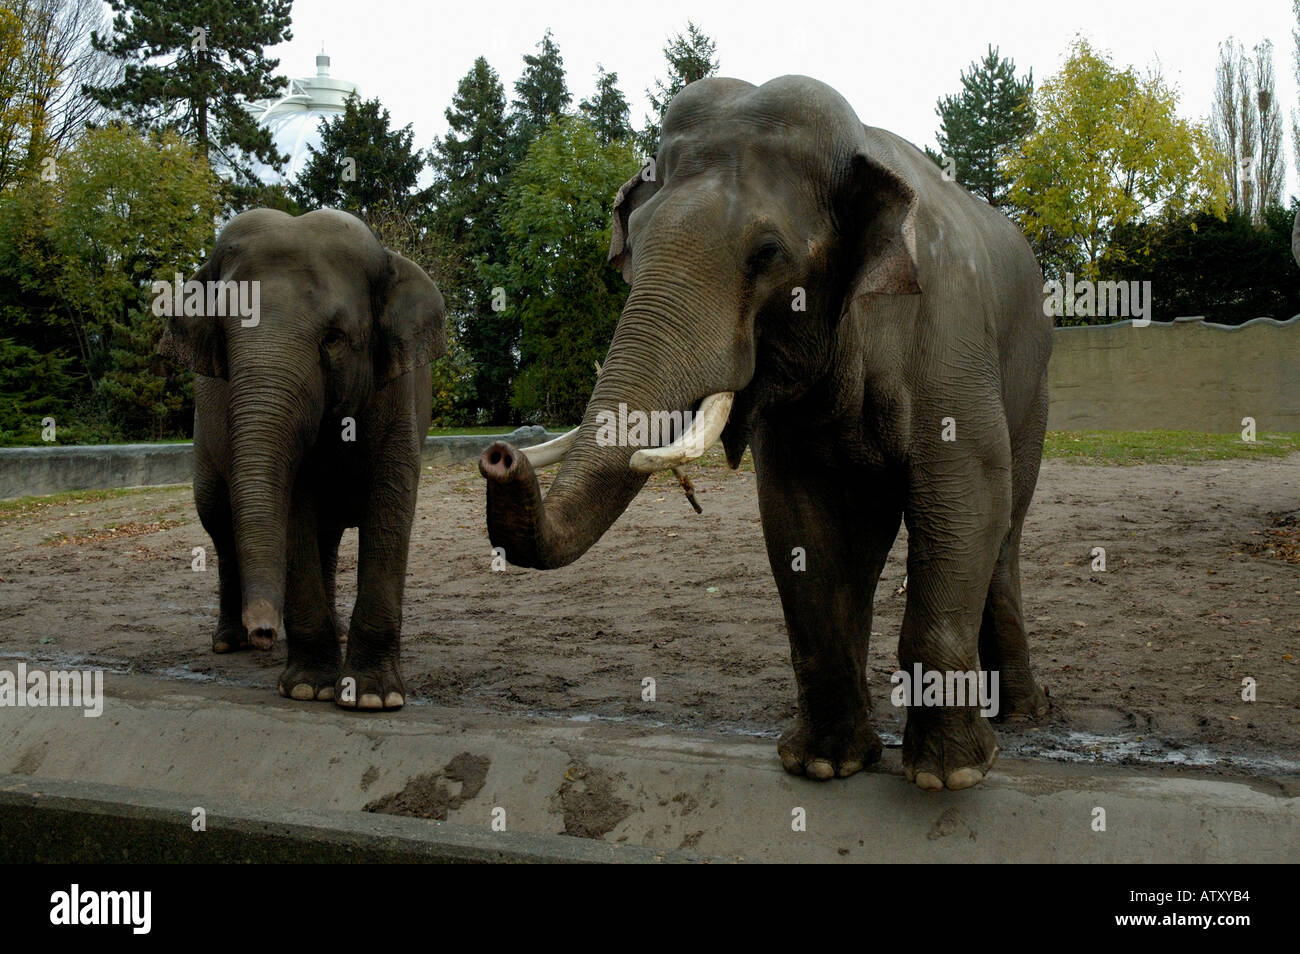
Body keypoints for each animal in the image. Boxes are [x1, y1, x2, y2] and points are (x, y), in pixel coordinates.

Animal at [157, 207, 447, 712]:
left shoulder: (397, 395)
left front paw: (373, 698)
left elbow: (390, 505)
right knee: (219, 522)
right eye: (223, 336)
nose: (264, 632)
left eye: (333, 338)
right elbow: (293, 510)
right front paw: (309, 689)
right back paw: (229, 642)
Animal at [483, 72, 1050, 790]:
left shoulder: (950, 342)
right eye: (634, 242)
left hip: (1031, 385)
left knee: (1004, 529)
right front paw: (822, 765)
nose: (500, 456)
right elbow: (799, 523)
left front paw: (948, 777)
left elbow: (964, 501)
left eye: (766, 254)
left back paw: (1023, 715)